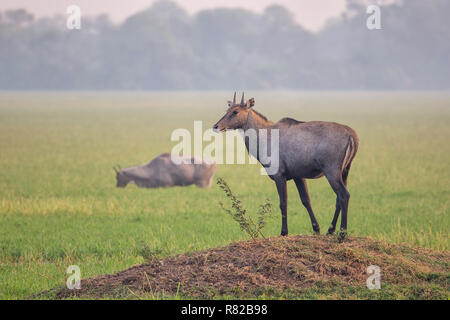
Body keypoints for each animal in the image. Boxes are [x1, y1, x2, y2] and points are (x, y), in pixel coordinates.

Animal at [212, 92, 358, 240]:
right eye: (227, 110)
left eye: (235, 111)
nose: (216, 126)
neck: (264, 137)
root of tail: (352, 136)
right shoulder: (298, 176)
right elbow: (306, 200)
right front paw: (316, 229)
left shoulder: (279, 175)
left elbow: (283, 203)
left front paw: (284, 232)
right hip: (345, 171)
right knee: (338, 198)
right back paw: (330, 230)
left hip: (331, 171)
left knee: (344, 195)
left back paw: (342, 234)